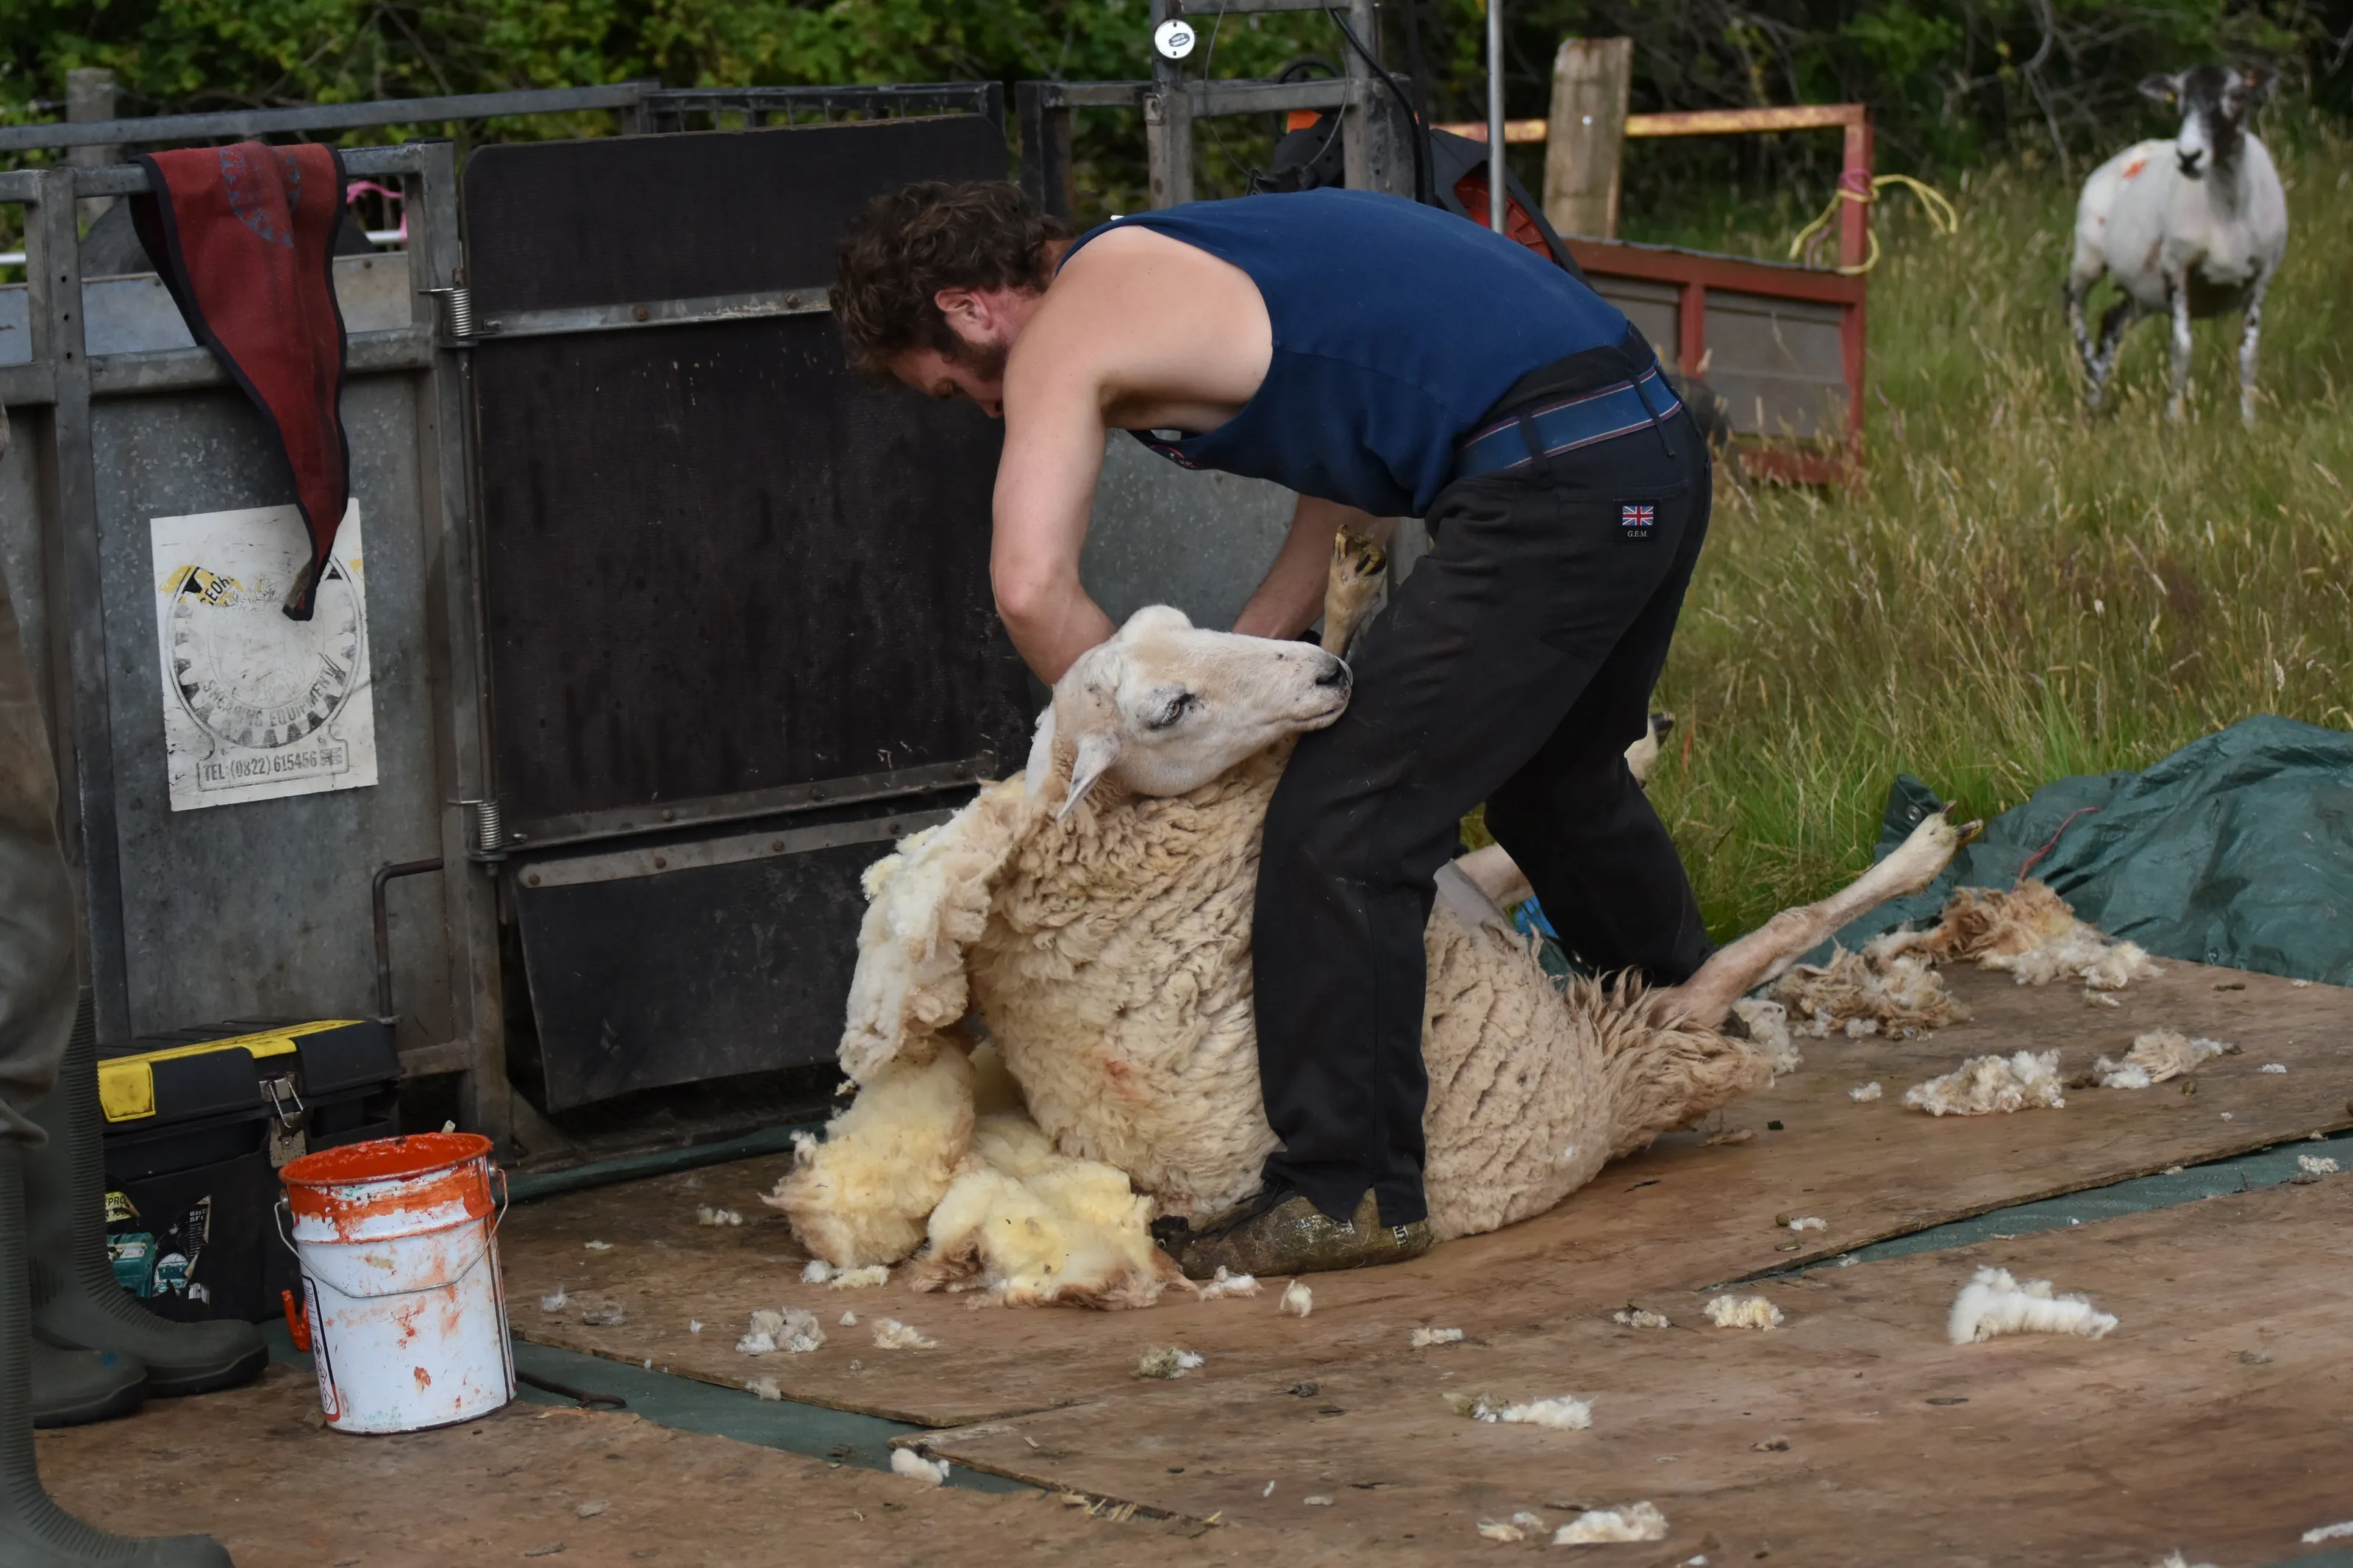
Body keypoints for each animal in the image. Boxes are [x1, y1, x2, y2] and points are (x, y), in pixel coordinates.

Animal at [2064, 64, 2287, 425]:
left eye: (2238, 96)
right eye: (2179, 100)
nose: (2188, 157)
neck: (2227, 215)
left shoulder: (2262, 276)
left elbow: (2248, 352)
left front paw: (2249, 421)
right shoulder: (2177, 268)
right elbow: (2181, 347)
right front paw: (2175, 420)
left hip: (2143, 291)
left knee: (2112, 322)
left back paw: (2097, 397)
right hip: (2088, 257)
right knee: (2072, 303)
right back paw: (2091, 374)